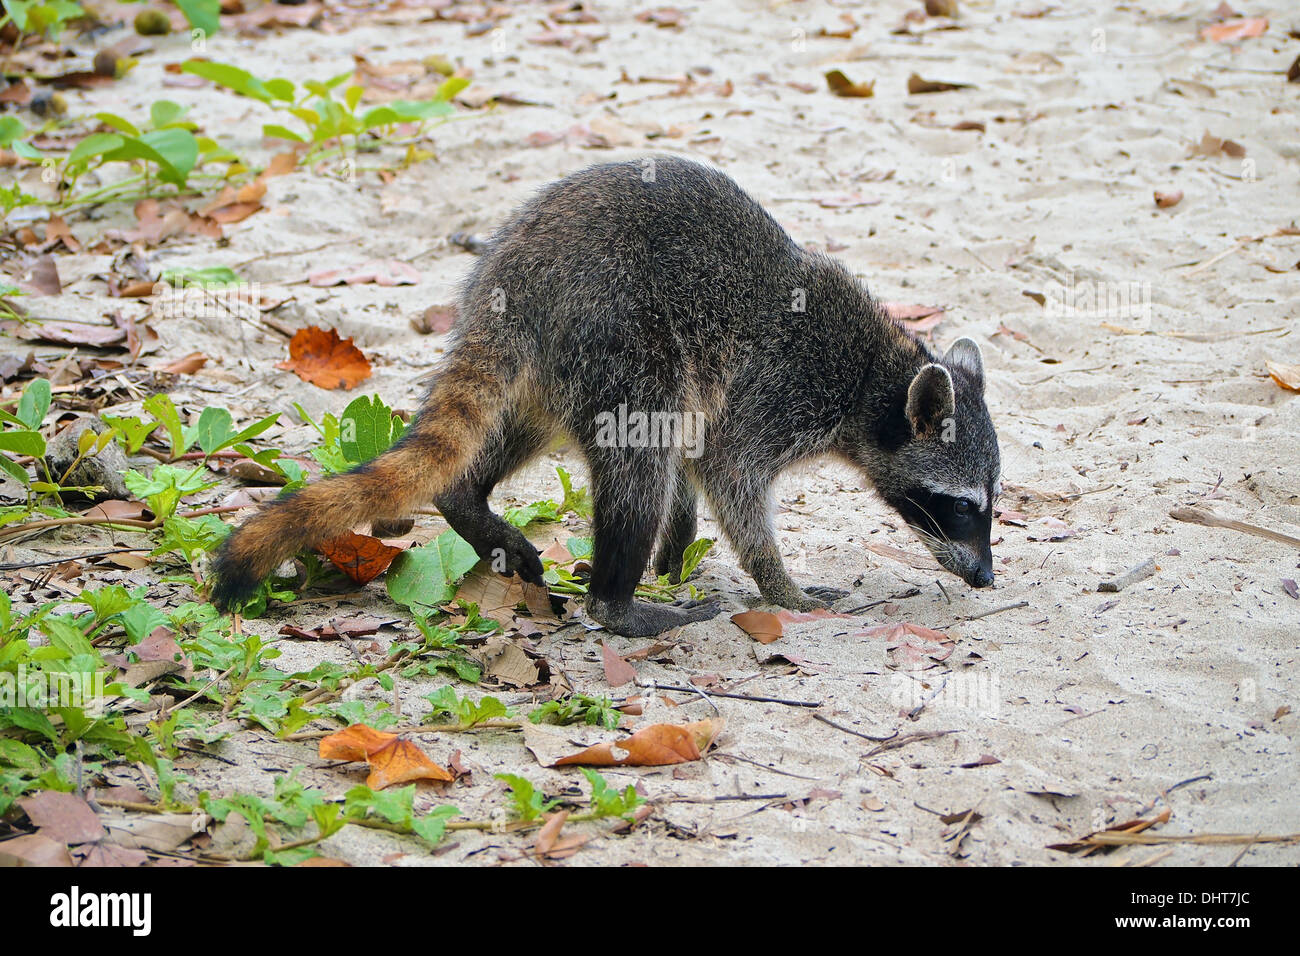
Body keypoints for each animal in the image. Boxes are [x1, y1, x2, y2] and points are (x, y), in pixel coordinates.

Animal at [215, 155, 1003, 634]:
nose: (987, 578)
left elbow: (696, 463)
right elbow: (728, 474)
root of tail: (512, 272)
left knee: (520, 428)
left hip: (554, 362)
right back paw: (617, 602)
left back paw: (468, 501)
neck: (876, 379)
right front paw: (781, 586)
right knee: (639, 460)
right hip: (617, 331)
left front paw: (680, 545)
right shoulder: (780, 389)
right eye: (962, 507)